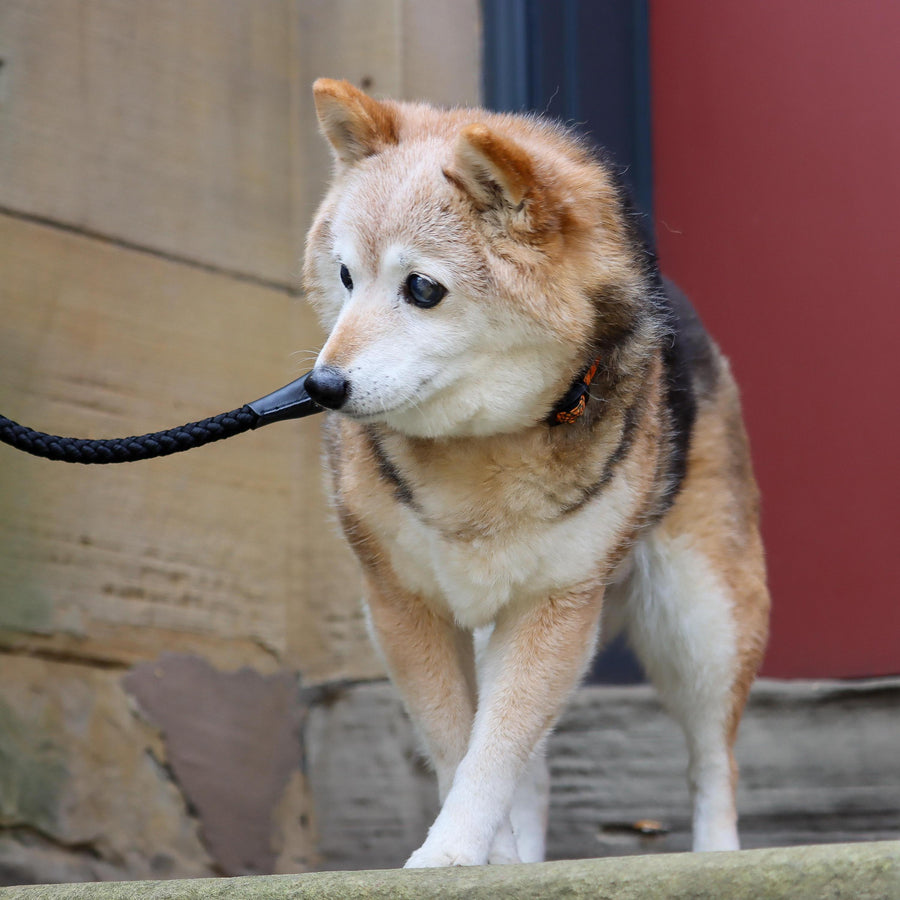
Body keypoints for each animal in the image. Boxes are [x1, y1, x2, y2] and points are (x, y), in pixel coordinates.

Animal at [300, 81, 768, 868]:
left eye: (421, 288)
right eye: (345, 276)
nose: (322, 387)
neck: (479, 448)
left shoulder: (555, 607)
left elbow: (491, 753)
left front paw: (455, 852)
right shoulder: (401, 605)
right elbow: (461, 744)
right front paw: (491, 859)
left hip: (703, 617)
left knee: (714, 762)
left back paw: (716, 856)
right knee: (538, 768)